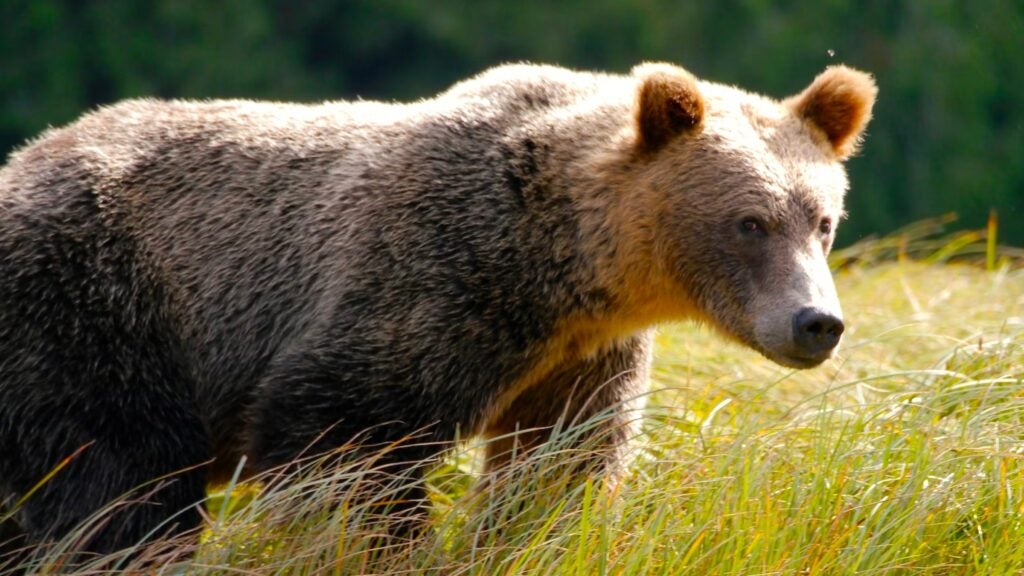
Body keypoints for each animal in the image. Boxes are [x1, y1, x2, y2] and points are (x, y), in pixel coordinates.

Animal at [0, 61, 876, 557]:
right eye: (749, 222)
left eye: (823, 219)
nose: (816, 324)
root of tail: (19, 160)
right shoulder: (432, 281)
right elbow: (346, 444)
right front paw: (387, 546)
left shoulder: (579, 355)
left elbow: (559, 467)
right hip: (96, 304)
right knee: (119, 479)